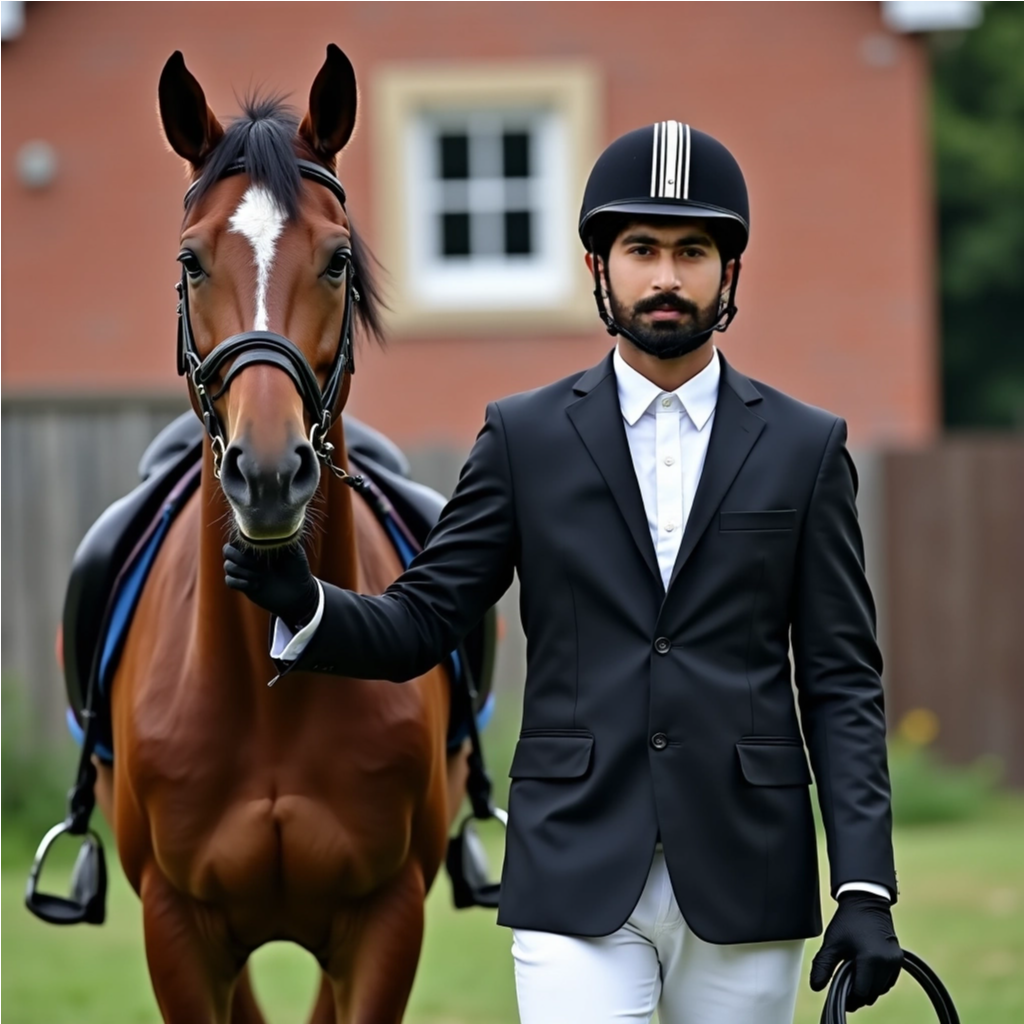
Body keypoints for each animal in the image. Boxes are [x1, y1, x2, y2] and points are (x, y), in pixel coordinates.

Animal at [90, 46, 464, 1023]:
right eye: (190, 261)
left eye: (337, 262)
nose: (266, 474)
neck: (271, 697)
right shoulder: (177, 930)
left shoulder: (387, 919)